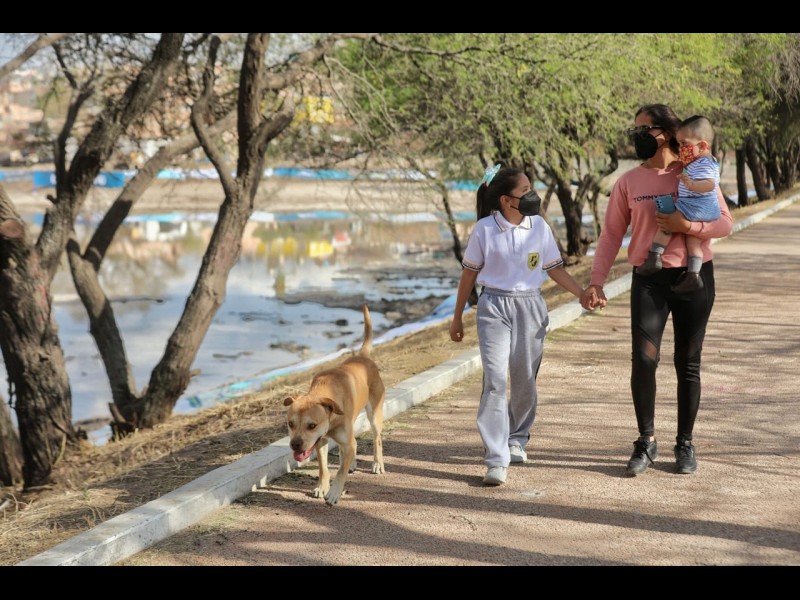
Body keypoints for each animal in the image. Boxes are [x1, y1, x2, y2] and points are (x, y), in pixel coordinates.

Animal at [283, 303, 385, 505]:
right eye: (290, 424)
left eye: (311, 425)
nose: (295, 445)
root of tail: (363, 357)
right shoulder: (319, 441)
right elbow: (323, 467)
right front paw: (322, 487)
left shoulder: (338, 438)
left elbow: (340, 471)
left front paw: (334, 492)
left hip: (374, 414)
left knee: (376, 438)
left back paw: (377, 463)